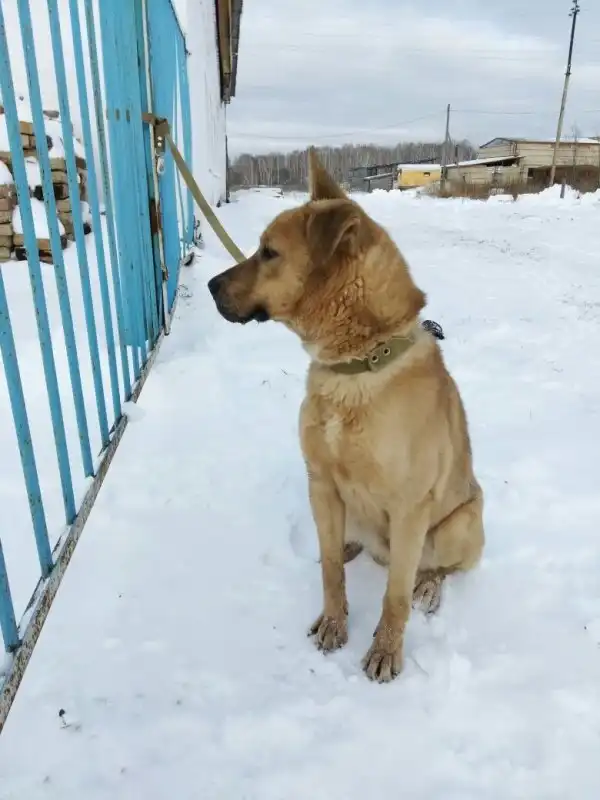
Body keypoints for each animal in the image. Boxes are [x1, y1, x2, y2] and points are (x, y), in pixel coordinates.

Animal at [207, 150, 484, 682]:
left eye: (269, 253)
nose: (210, 286)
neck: (356, 364)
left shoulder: (410, 506)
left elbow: (394, 598)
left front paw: (385, 650)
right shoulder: (320, 482)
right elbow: (331, 569)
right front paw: (335, 621)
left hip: (457, 523)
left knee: (435, 568)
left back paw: (429, 585)